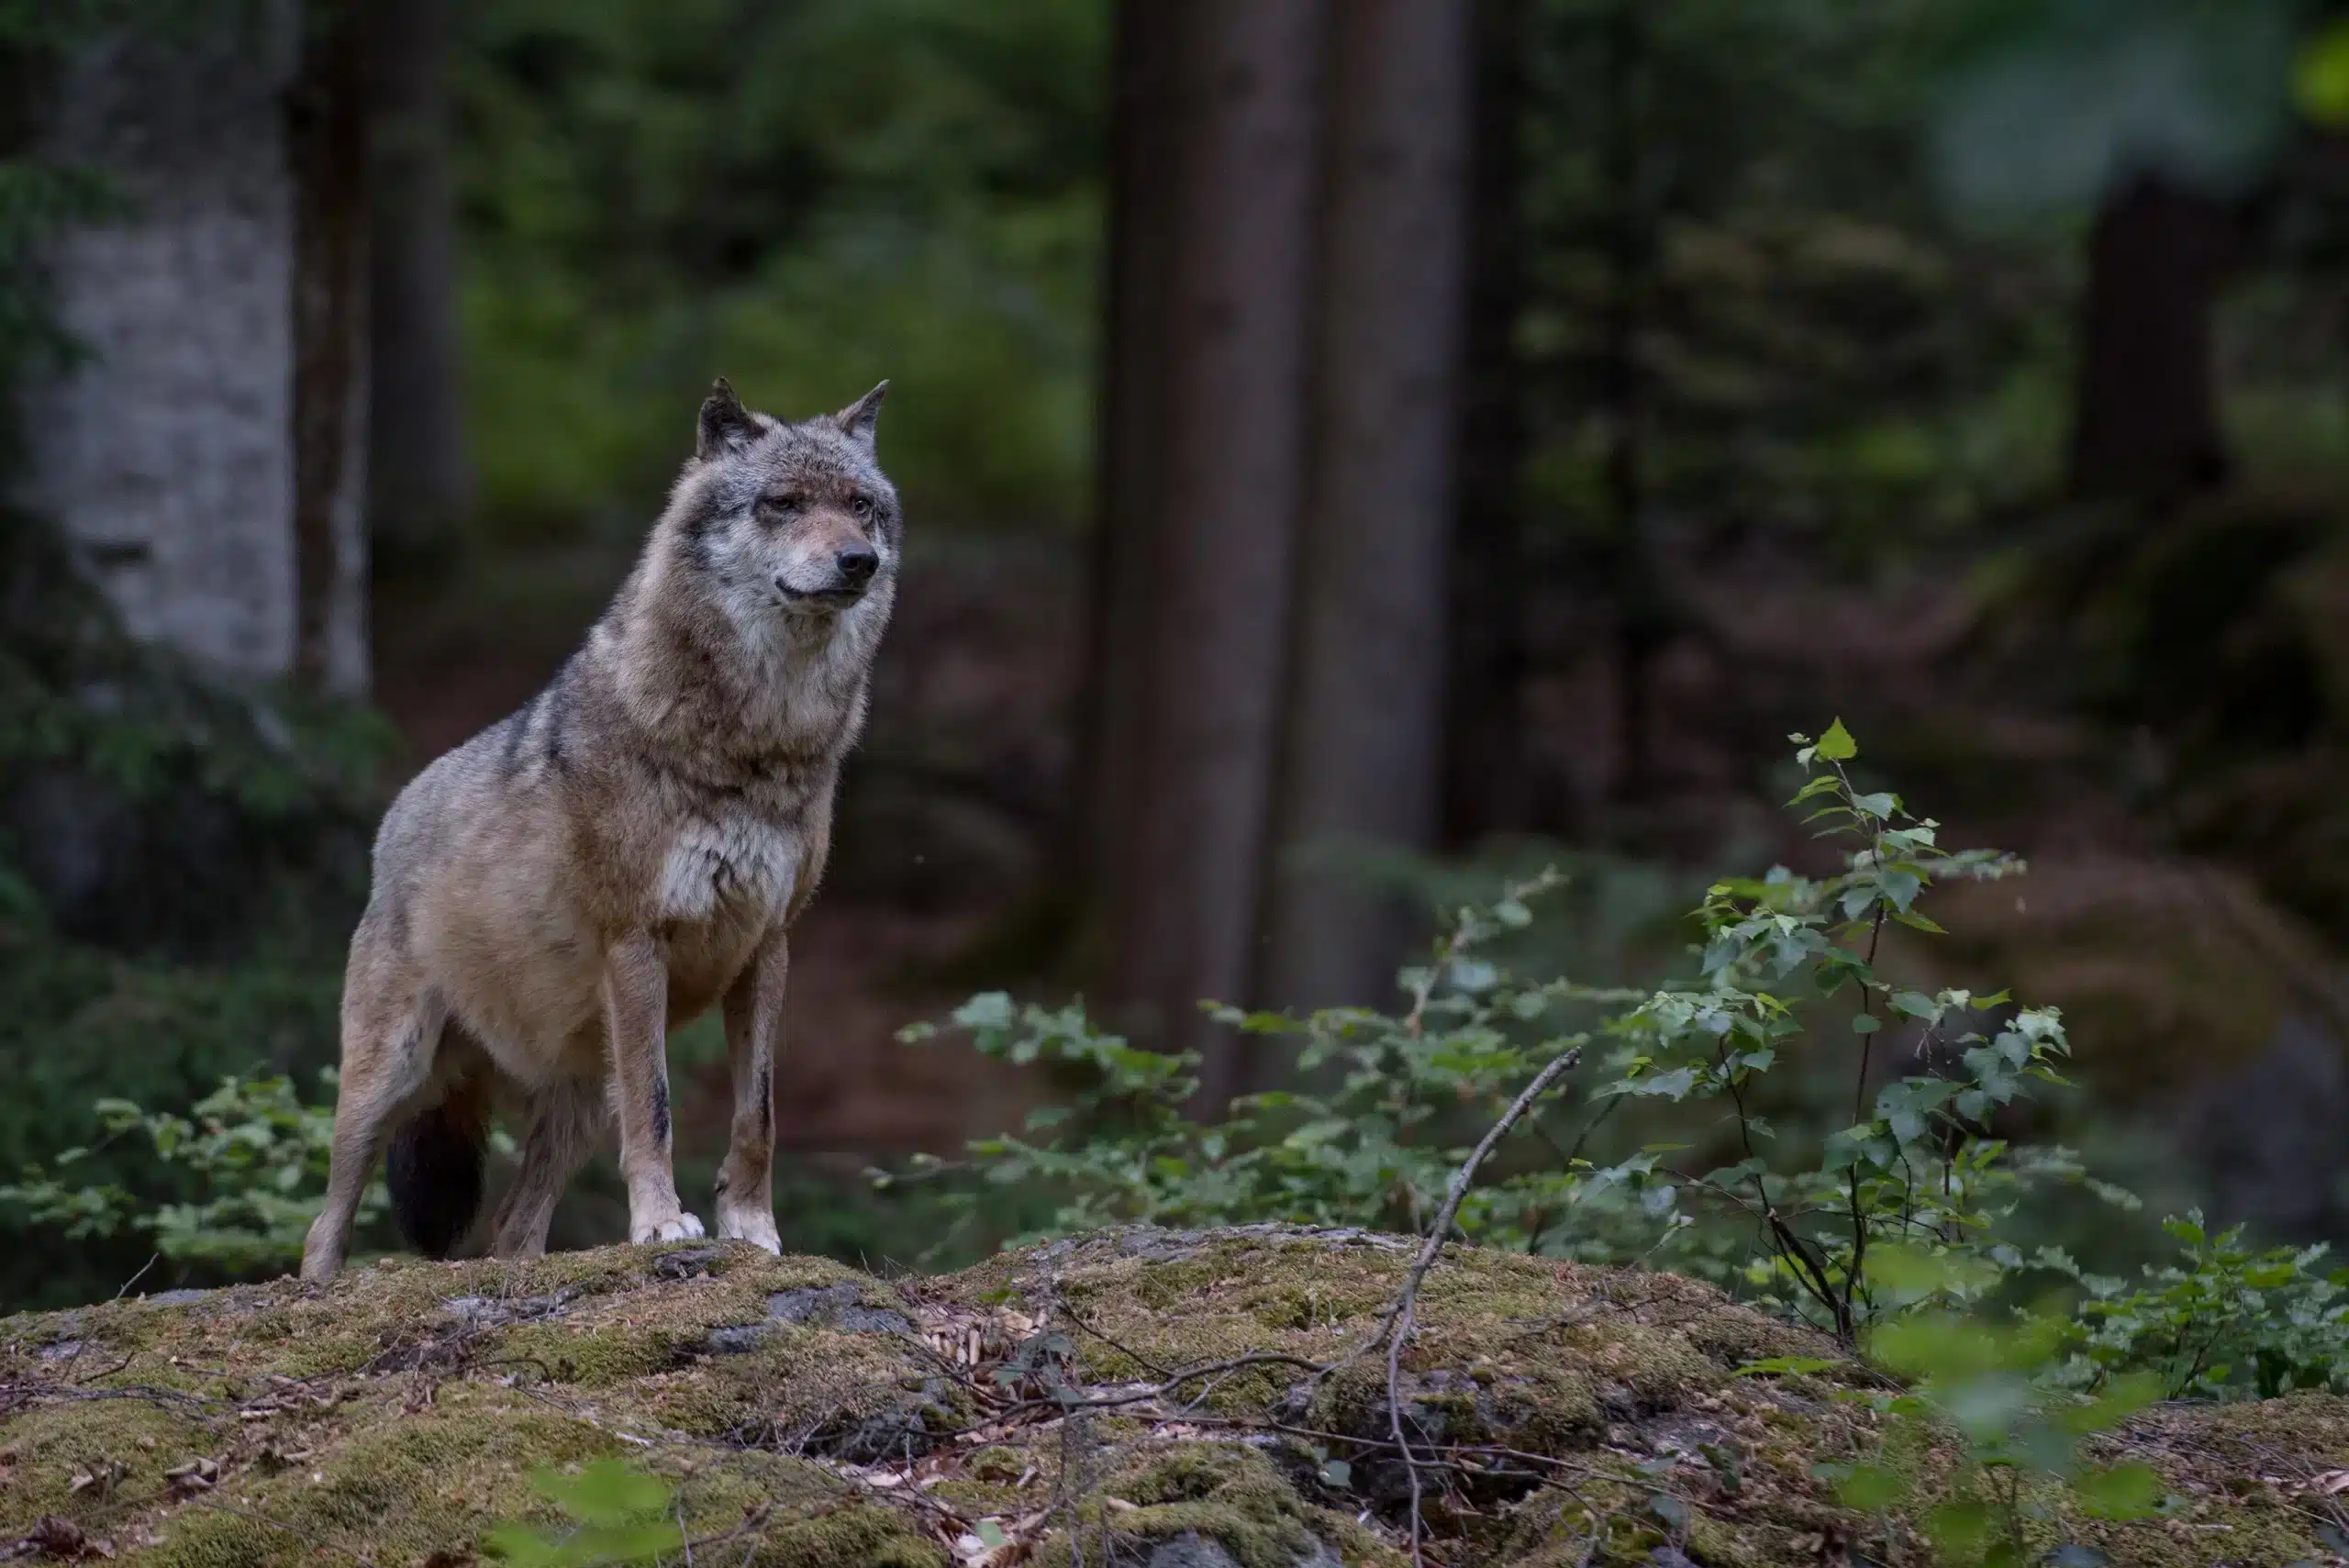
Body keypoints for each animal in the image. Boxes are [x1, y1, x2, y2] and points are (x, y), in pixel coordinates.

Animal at [299, 377, 898, 1282]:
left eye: (861, 506)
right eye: (784, 503)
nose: (858, 560)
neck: (758, 745)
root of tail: (393, 817)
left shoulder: (769, 944)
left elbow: (757, 1113)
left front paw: (753, 1229)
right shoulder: (636, 938)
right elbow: (656, 1109)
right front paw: (661, 1224)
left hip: (575, 1098)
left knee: (512, 1229)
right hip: (390, 1077)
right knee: (323, 1222)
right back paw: (318, 1288)